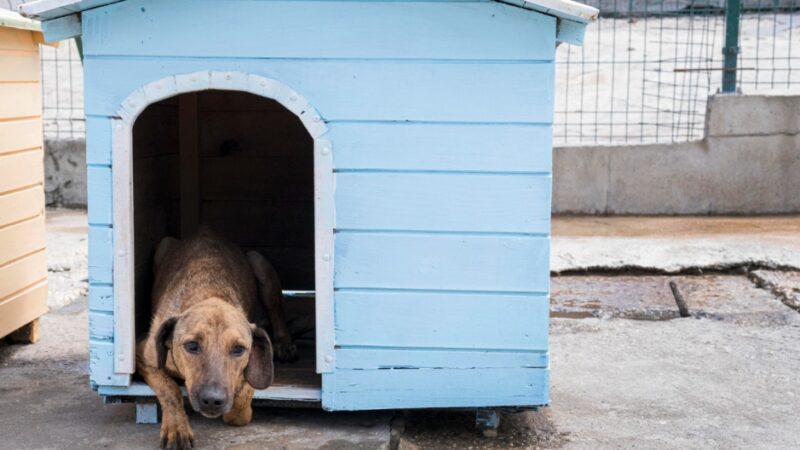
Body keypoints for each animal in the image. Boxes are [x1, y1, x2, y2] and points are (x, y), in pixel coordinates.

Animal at [138, 227, 296, 448]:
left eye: (239, 349)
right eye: (192, 346)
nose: (213, 400)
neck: (209, 294)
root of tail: (205, 230)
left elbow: (240, 406)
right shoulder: (144, 357)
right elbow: (170, 390)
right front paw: (177, 428)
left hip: (258, 262)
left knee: (277, 311)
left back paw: (284, 343)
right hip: (163, 245)